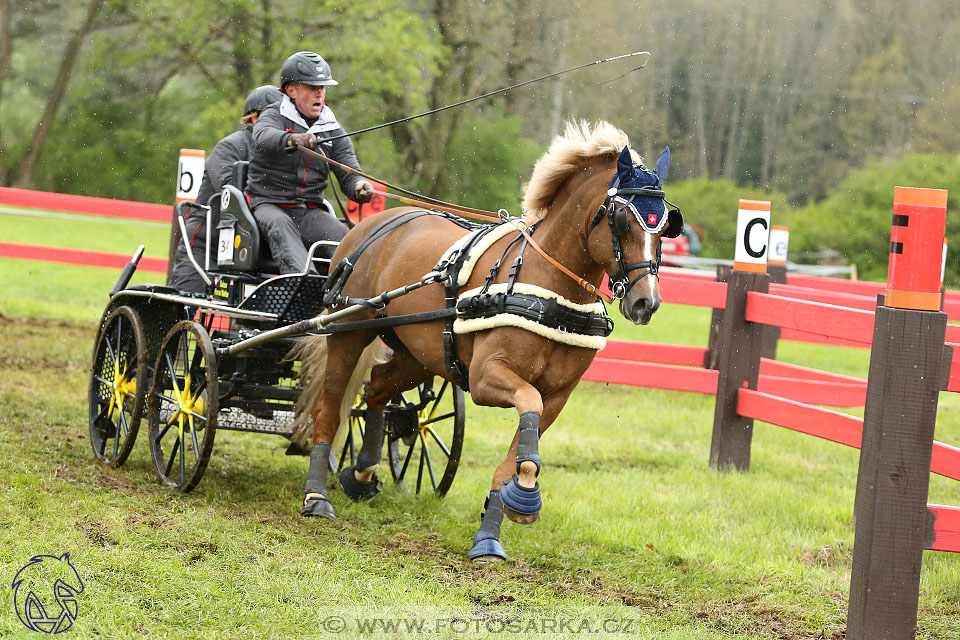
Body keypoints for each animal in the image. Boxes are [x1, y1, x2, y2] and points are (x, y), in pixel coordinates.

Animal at [294, 120, 684, 560]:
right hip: (349, 332)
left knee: (376, 390)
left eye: (665, 226)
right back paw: (317, 497)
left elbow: (518, 451)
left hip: (418, 354)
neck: (546, 286)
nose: (646, 302)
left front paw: (494, 530)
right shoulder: (485, 377)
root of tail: (372, 223)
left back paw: (362, 473)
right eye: (621, 220)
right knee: (330, 408)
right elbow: (527, 410)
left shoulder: (558, 396)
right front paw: (526, 492)